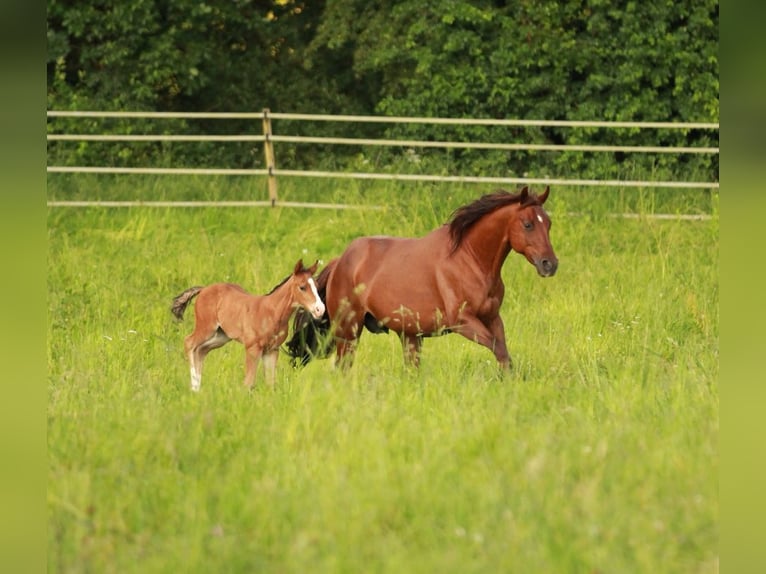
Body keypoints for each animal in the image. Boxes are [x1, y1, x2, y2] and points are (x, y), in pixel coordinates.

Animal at [171, 259, 325, 391]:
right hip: (206, 328)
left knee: (201, 350)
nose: (320, 309)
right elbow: (249, 383)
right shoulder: (252, 348)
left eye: (317, 287)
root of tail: (204, 289)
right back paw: (194, 388)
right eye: (302, 287)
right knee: (189, 343)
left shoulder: (272, 350)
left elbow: (271, 383)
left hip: (221, 336)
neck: (272, 313)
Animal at [286, 186, 557, 371]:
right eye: (528, 224)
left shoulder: (492, 318)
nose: (550, 264)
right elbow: (498, 349)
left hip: (408, 335)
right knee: (343, 367)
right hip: (349, 331)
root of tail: (340, 261)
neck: (470, 260)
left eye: (548, 223)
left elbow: (505, 356)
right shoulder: (464, 322)